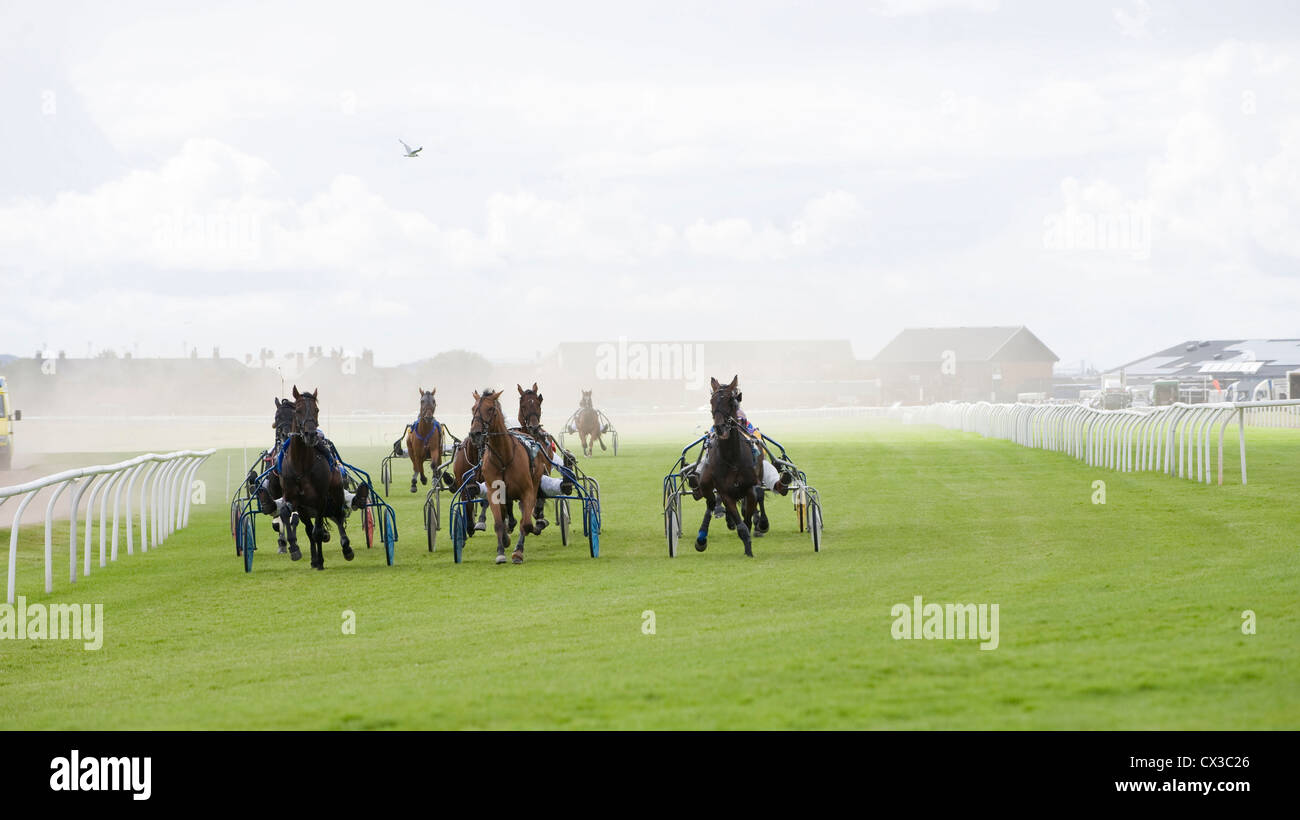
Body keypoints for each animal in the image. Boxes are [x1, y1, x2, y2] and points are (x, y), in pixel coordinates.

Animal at [278, 387, 361, 571]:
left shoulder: (321, 499)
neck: (301, 465)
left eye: (316, 410)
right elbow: (286, 512)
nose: (310, 434)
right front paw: (294, 548)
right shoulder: (293, 498)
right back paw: (313, 558)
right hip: (305, 508)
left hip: (335, 493)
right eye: (298, 410)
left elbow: (318, 530)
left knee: (338, 516)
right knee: (309, 528)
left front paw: (322, 560)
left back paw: (346, 548)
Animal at [467, 389, 548, 563]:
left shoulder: (527, 491)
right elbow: (498, 522)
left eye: (491, 409)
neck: (503, 458)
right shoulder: (494, 491)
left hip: (535, 480)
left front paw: (518, 551)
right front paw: (501, 549)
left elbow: (526, 523)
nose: (475, 433)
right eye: (473, 408)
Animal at [691, 376, 759, 558]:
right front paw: (747, 547)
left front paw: (749, 549)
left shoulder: (750, 488)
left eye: (731, 401)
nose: (720, 428)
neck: (732, 459)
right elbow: (741, 525)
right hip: (705, 481)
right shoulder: (724, 491)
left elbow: (747, 520)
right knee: (710, 503)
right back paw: (702, 538)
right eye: (711, 401)